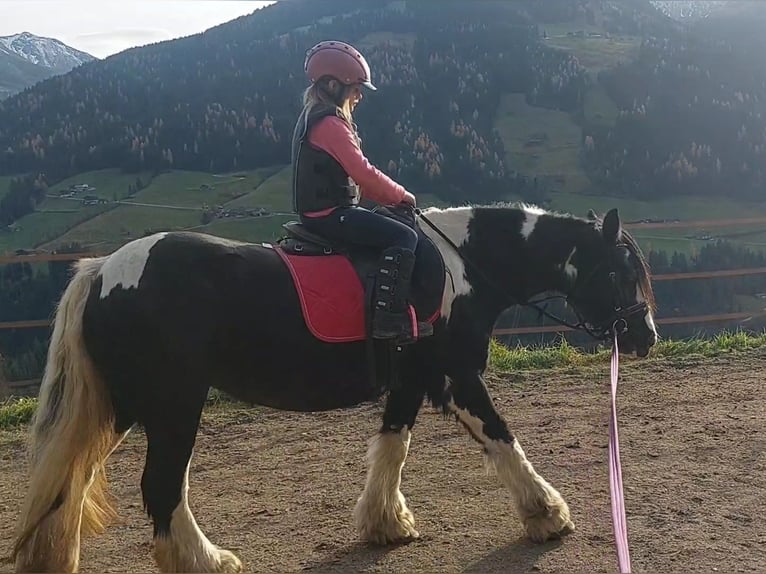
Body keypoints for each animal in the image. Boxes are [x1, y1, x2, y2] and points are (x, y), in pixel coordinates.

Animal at [9, 201, 657, 573]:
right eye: (621, 271)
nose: (645, 336)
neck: (460, 267)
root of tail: (103, 271)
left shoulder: (413, 379)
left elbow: (392, 447)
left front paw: (385, 524)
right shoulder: (456, 375)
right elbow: (502, 438)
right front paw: (547, 514)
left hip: (122, 407)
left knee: (72, 482)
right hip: (172, 405)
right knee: (162, 487)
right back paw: (207, 560)